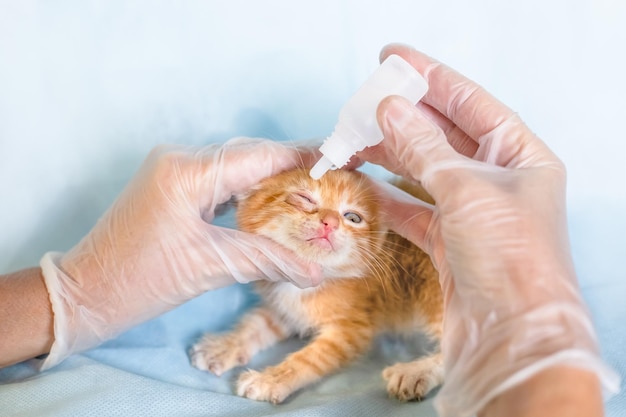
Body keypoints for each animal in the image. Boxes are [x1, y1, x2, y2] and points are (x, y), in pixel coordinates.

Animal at [188, 167, 442, 404]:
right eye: (304, 198)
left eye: (353, 217)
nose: (330, 222)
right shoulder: (287, 302)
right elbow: (257, 323)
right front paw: (224, 347)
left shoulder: (353, 329)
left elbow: (312, 358)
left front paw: (269, 380)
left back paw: (414, 373)